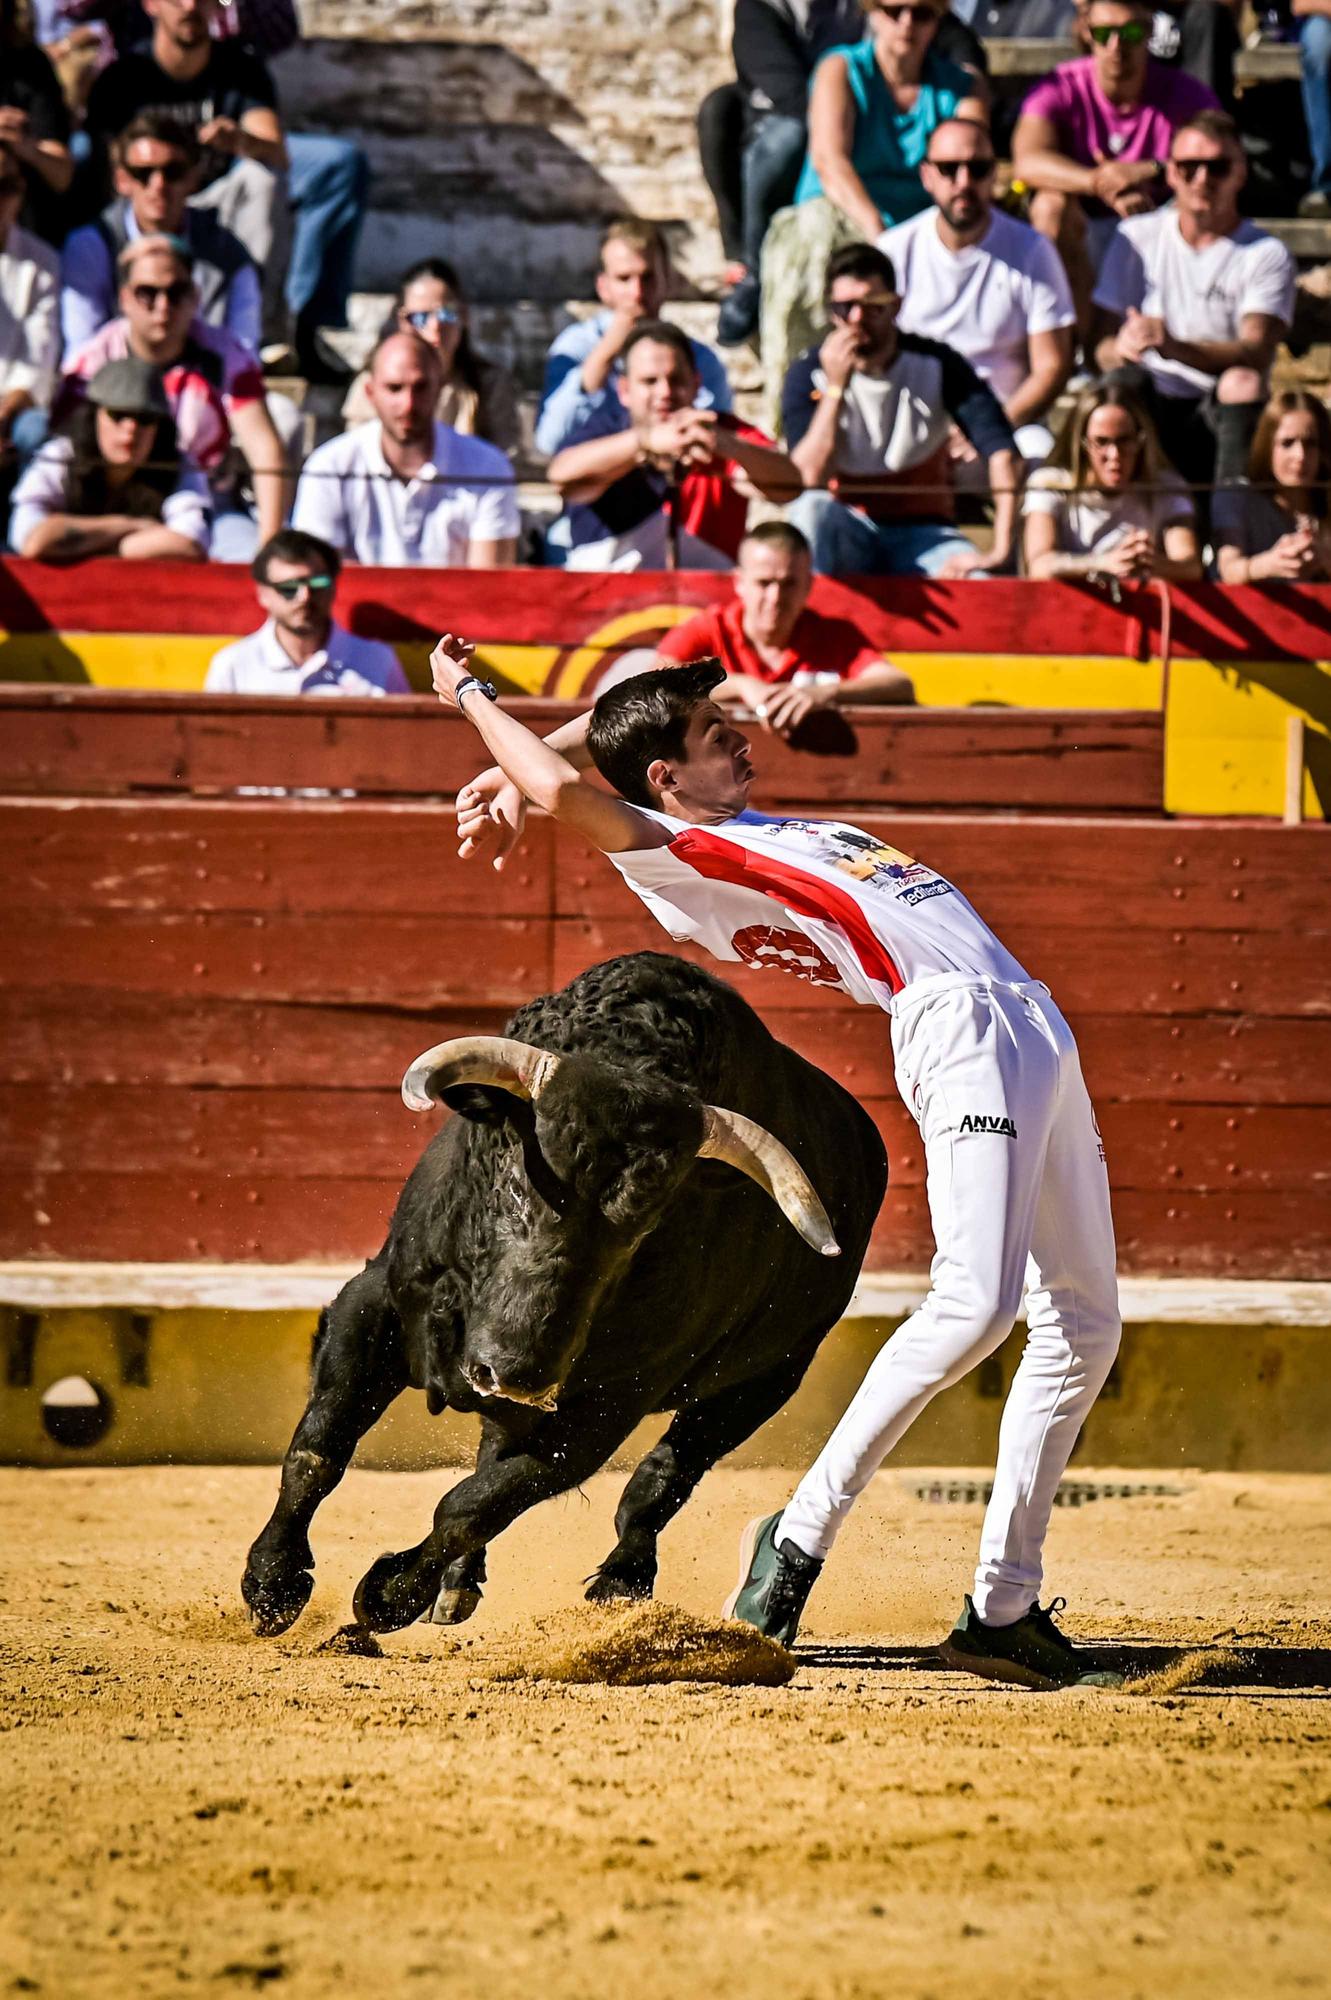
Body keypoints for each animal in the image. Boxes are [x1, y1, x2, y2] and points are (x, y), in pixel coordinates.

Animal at [240, 956, 879, 1640]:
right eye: (518, 1176)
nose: (515, 1372)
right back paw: (458, 1585)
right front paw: (273, 1584)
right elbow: (320, 1447)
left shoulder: (602, 1411)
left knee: (661, 1478)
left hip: (765, 1381)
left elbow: (475, 1504)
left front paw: (388, 1594)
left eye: (647, 1224)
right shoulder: (374, 1303)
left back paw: (621, 1582)